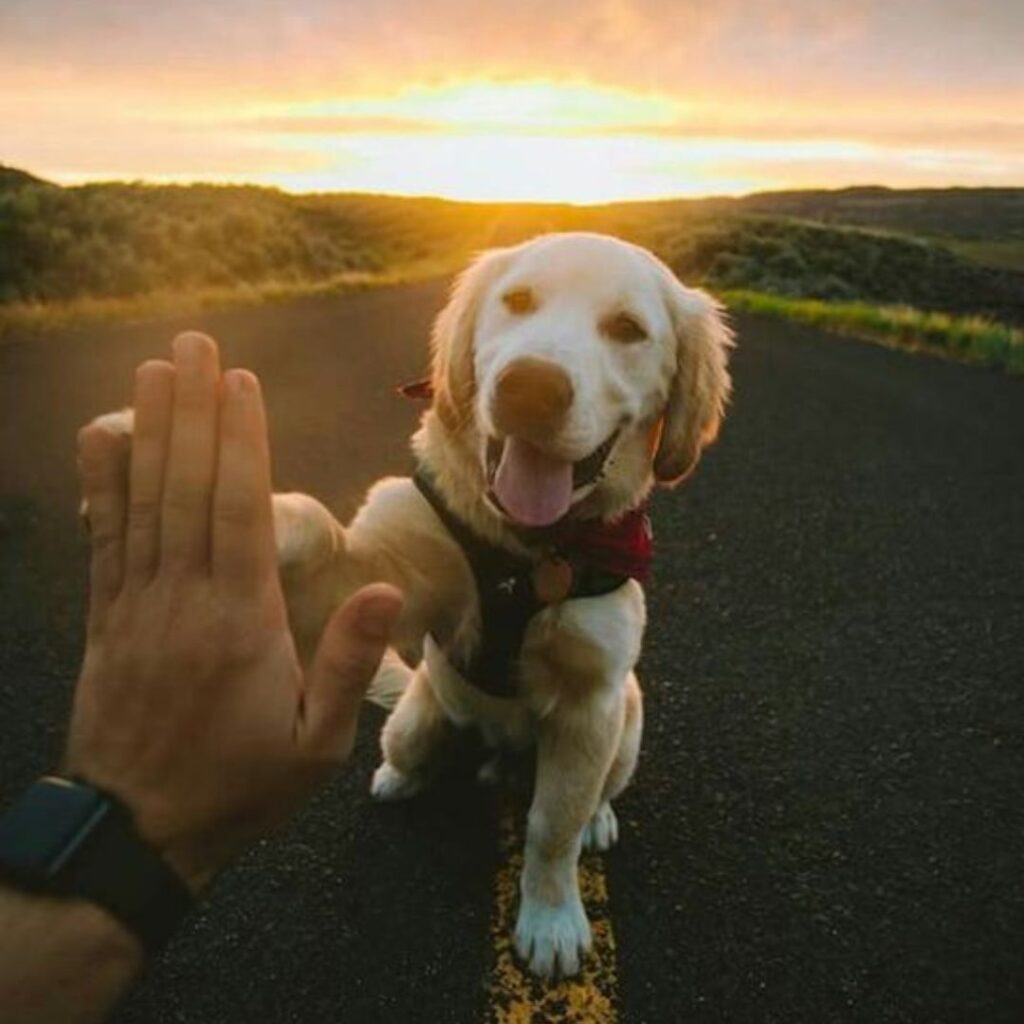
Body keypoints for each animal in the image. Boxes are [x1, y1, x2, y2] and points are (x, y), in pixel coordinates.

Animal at [83, 232, 733, 974]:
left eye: (628, 329)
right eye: (517, 300)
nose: (530, 388)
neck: (526, 553)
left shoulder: (591, 698)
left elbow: (553, 825)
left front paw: (552, 918)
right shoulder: (376, 579)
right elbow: (313, 522)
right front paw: (174, 462)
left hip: (627, 721)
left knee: (591, 792)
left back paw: (597, 818)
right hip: (418, 718)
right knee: (411, 747)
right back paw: (400, 777)